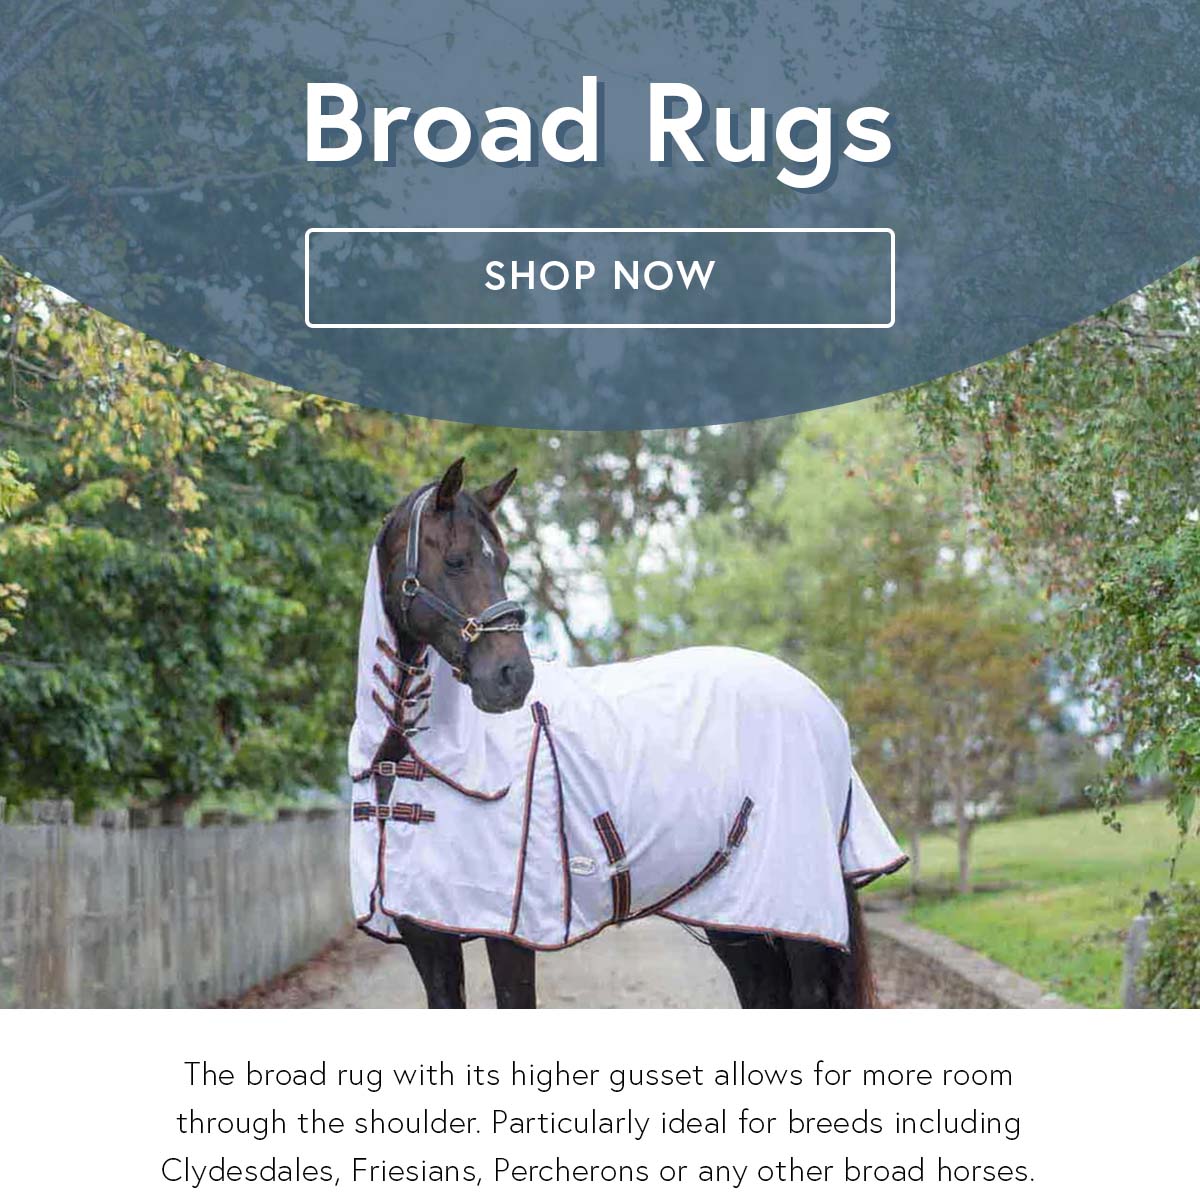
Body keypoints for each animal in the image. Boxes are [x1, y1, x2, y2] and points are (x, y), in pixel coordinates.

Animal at [347, 459, 906, 1008]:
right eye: (458, 560)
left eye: (502, 563)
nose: (512, 677)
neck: (411, 757)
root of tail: (822, 706)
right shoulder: (425, 935)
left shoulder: (509, 933)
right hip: (737, 913)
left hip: (797, 910)